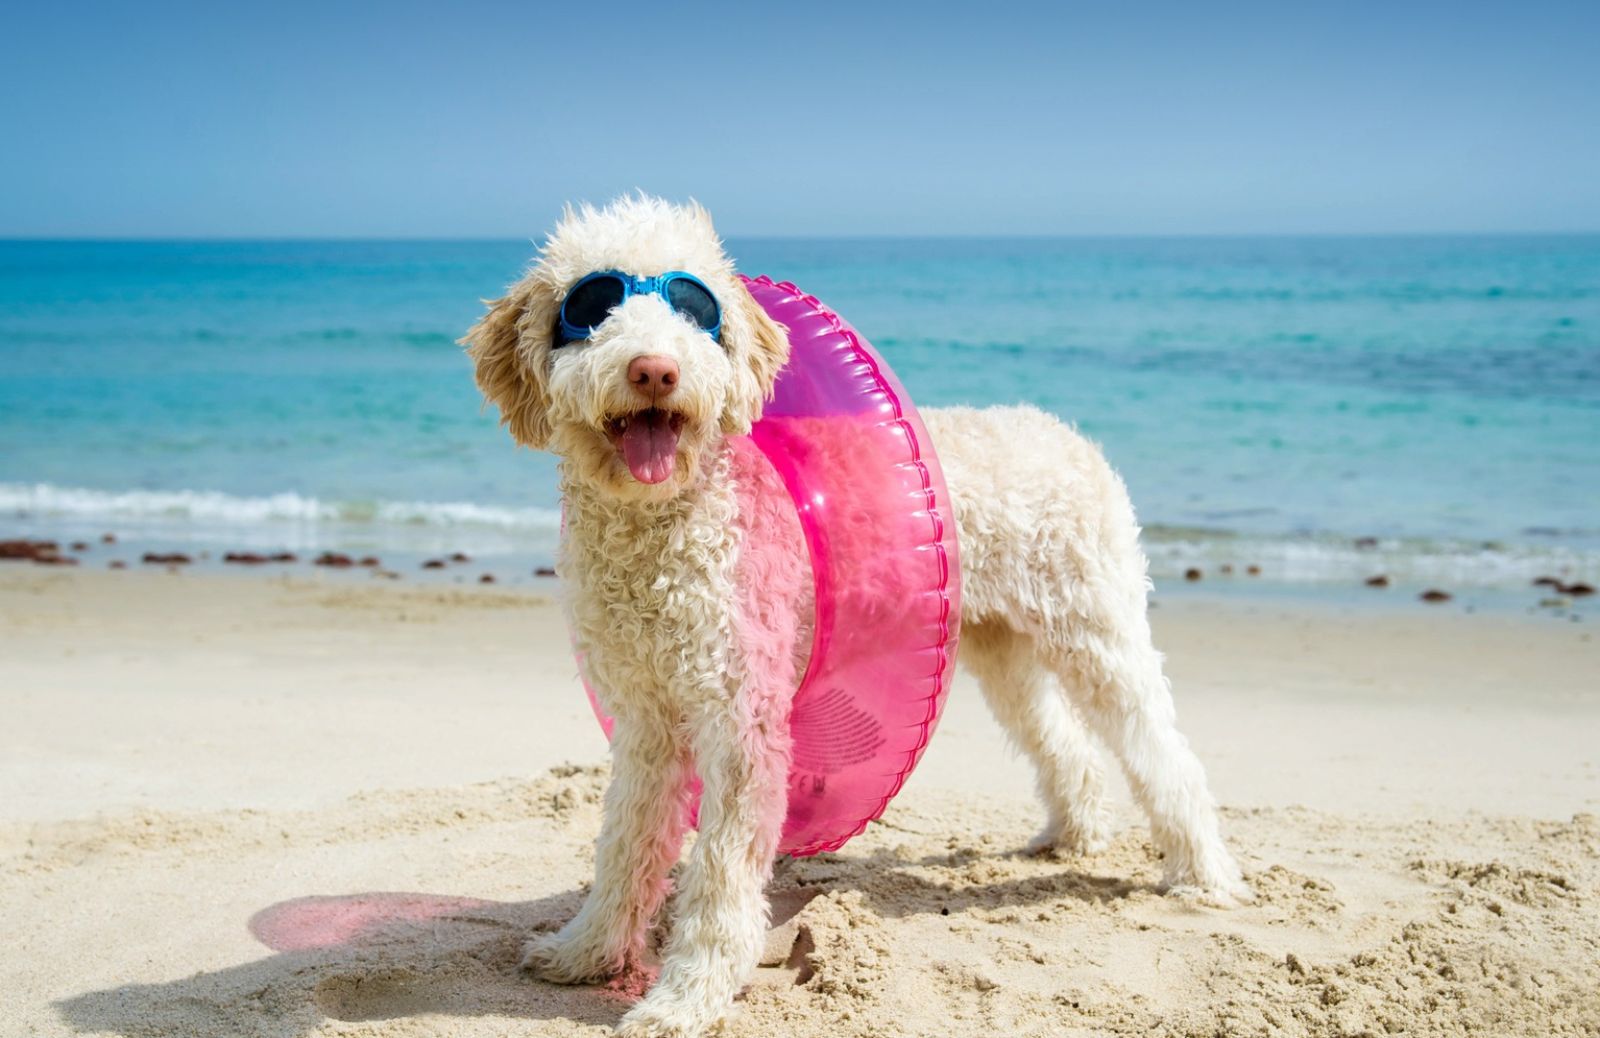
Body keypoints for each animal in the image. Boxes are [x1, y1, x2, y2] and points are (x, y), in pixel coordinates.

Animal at [464, 196, 1248, 1036]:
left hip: (1097, 631)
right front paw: (586, 951)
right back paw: (1073, 836)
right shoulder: (647, 720)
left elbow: (720, 875)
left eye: (693, 307)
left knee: (1161, 751)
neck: (662, 523)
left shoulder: (740, 720)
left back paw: (1202, 875)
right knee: (1061, 741)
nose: (654, 369)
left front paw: (687, 996)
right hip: (1001, 647)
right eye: (593, 305)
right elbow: (625, 844)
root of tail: (1065, 433)